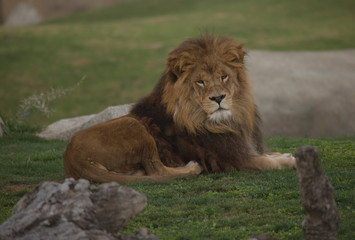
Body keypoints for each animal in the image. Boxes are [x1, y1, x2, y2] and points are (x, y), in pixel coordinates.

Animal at [62, 34, 296, 183]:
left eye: (224, 77)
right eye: (200, 82)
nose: (218, 97)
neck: (225, 122)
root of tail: (71, 158)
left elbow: (268, 154)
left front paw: (283, 154)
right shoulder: (230, 160)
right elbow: (267, 163)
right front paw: (288, 160)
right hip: (134, 126)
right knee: (157, 170)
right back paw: (192, 168)